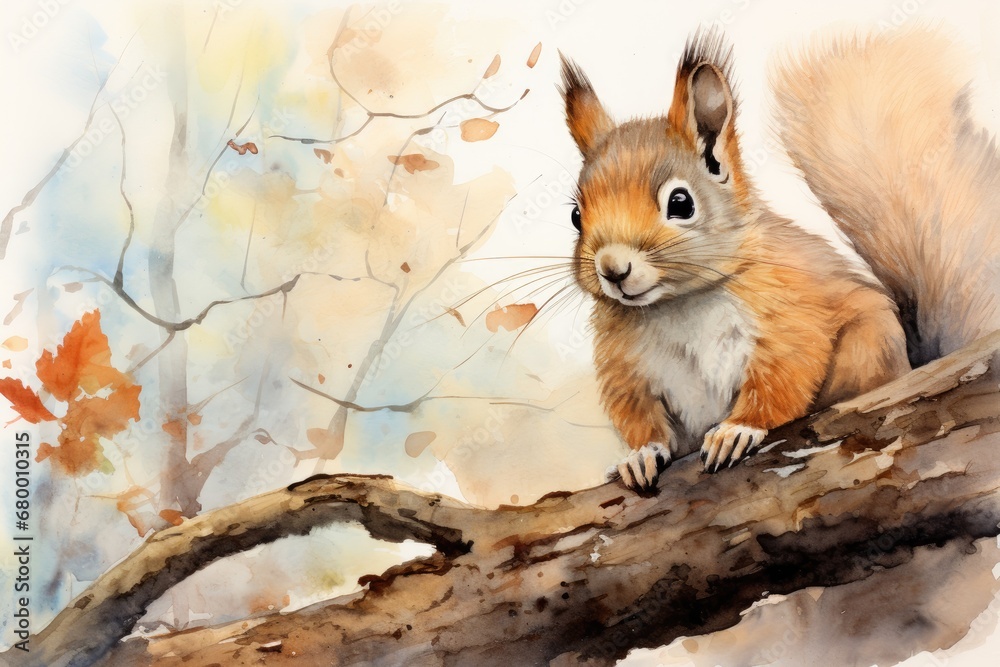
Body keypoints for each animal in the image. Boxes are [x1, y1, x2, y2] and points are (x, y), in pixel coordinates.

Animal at [559, 27, 1000, 492]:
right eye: (575, 216)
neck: (676, 304)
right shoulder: (626, 369)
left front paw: (738, 430)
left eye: (681, 203)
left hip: (870, 345)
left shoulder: (791, 316)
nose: (612, 269)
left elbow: (783, 378)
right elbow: (636, 415)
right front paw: (639, 455)